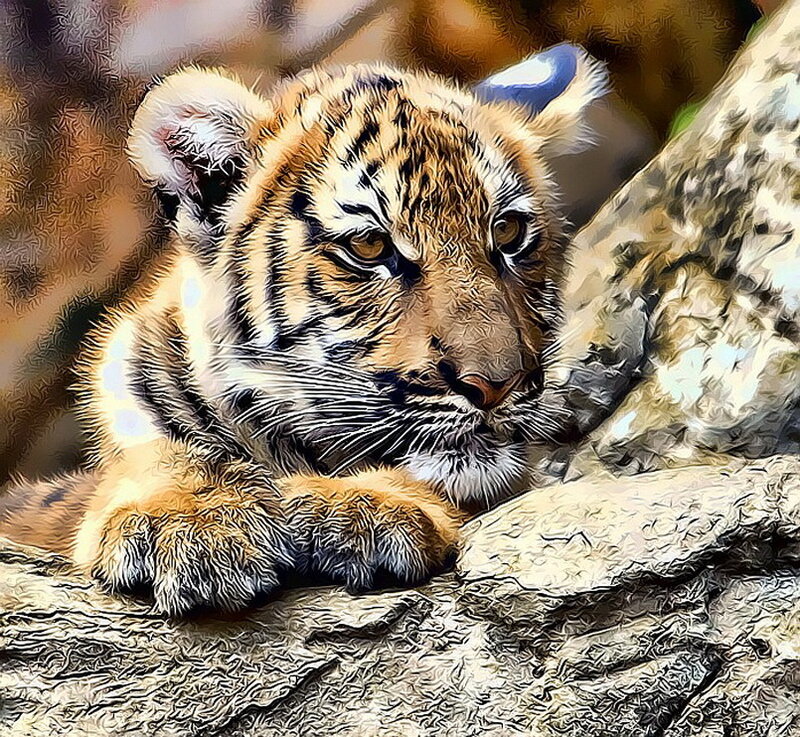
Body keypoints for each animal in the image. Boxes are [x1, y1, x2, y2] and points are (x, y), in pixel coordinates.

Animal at [0, 57, 606, 615]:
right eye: (369, 246)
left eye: (508, 232)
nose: (498, 385)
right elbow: (159, 458)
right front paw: (189, 521)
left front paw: (358, 504)